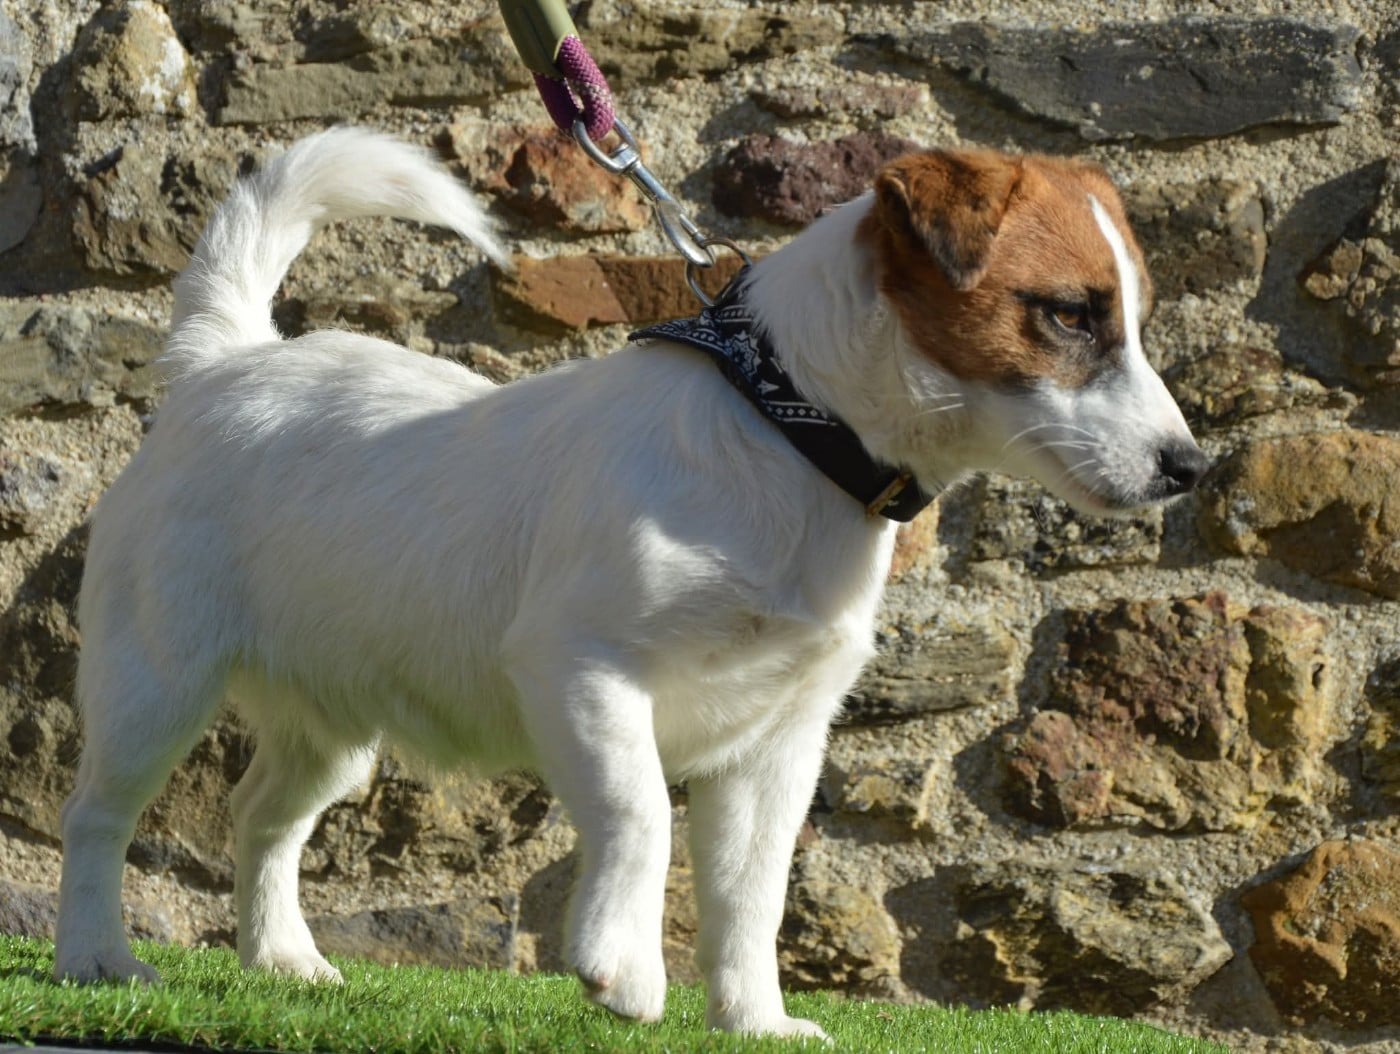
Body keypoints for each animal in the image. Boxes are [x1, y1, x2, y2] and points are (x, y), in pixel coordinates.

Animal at [53, 127, 1207, 1038]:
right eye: (1069, 314)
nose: (1187, 468)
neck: (786, 431)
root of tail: (225, 363)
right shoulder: (584, 670)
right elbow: (641, 813)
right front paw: (622, 965)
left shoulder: (777, 741)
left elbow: (752, 892)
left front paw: (753, 1019)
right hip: (155, 679)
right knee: (98, 814)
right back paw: (94, 956)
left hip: (332, 719)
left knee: (261, 816)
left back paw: (282, 959)